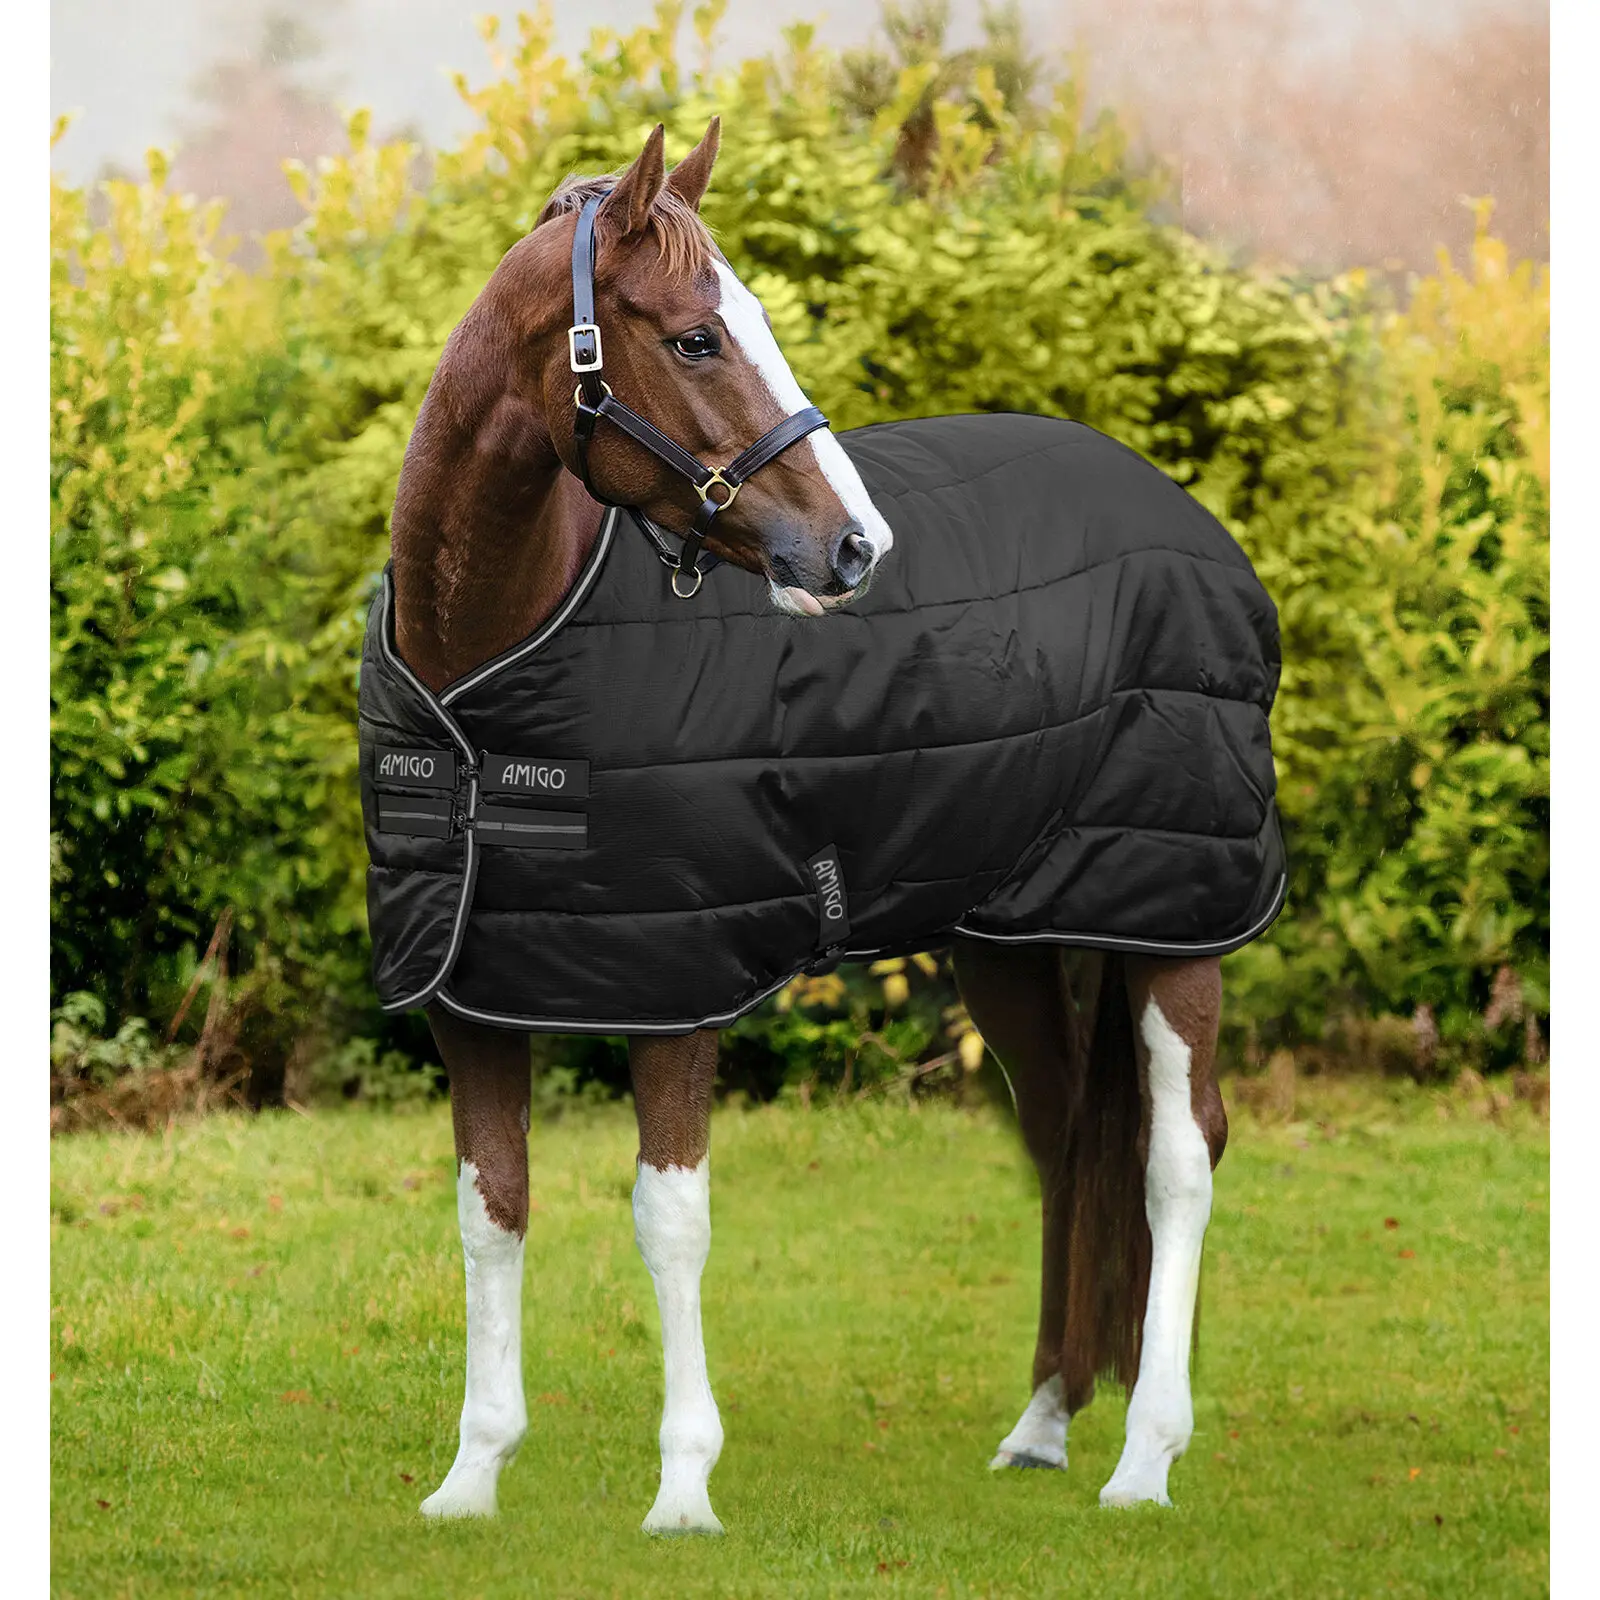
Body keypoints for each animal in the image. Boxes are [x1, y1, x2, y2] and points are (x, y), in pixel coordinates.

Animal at [376, 118, 1271, 1532]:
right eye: (697, 337)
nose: (854, 548)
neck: (483, 692)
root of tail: (1184, 519)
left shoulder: (676, 987)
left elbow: (667, 1219)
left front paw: (683, 1490)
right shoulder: (474, 991)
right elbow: (492, 1210)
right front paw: (471, 1478)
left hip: (1176, 918)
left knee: (1179, 1155)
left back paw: (1143, 1458)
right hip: (1009, 940)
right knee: (1070, 1135)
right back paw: (1044, 1422)